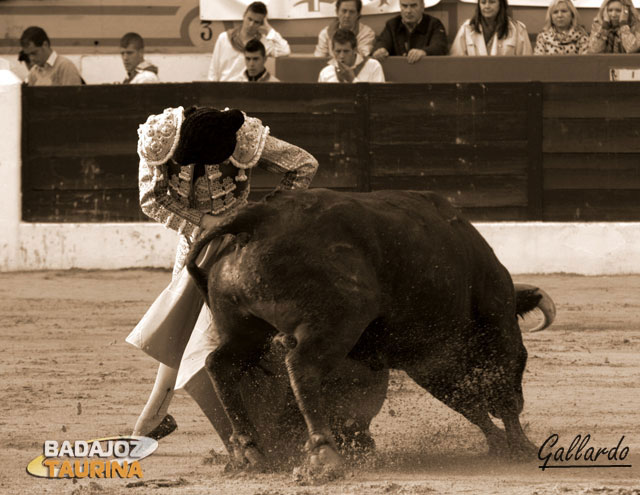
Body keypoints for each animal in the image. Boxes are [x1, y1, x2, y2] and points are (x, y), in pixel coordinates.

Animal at [186, 189, 556, 468]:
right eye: (525, 358)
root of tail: (260, 216)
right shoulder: (496, 324)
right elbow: (497, 391)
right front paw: (520, 445)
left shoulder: (428, 360)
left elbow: (467, 402)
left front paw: (500, 444)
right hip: (337, 322)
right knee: (302, 366)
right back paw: (324, 453)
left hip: (243, 328)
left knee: (219, 364)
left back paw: (250, 451)